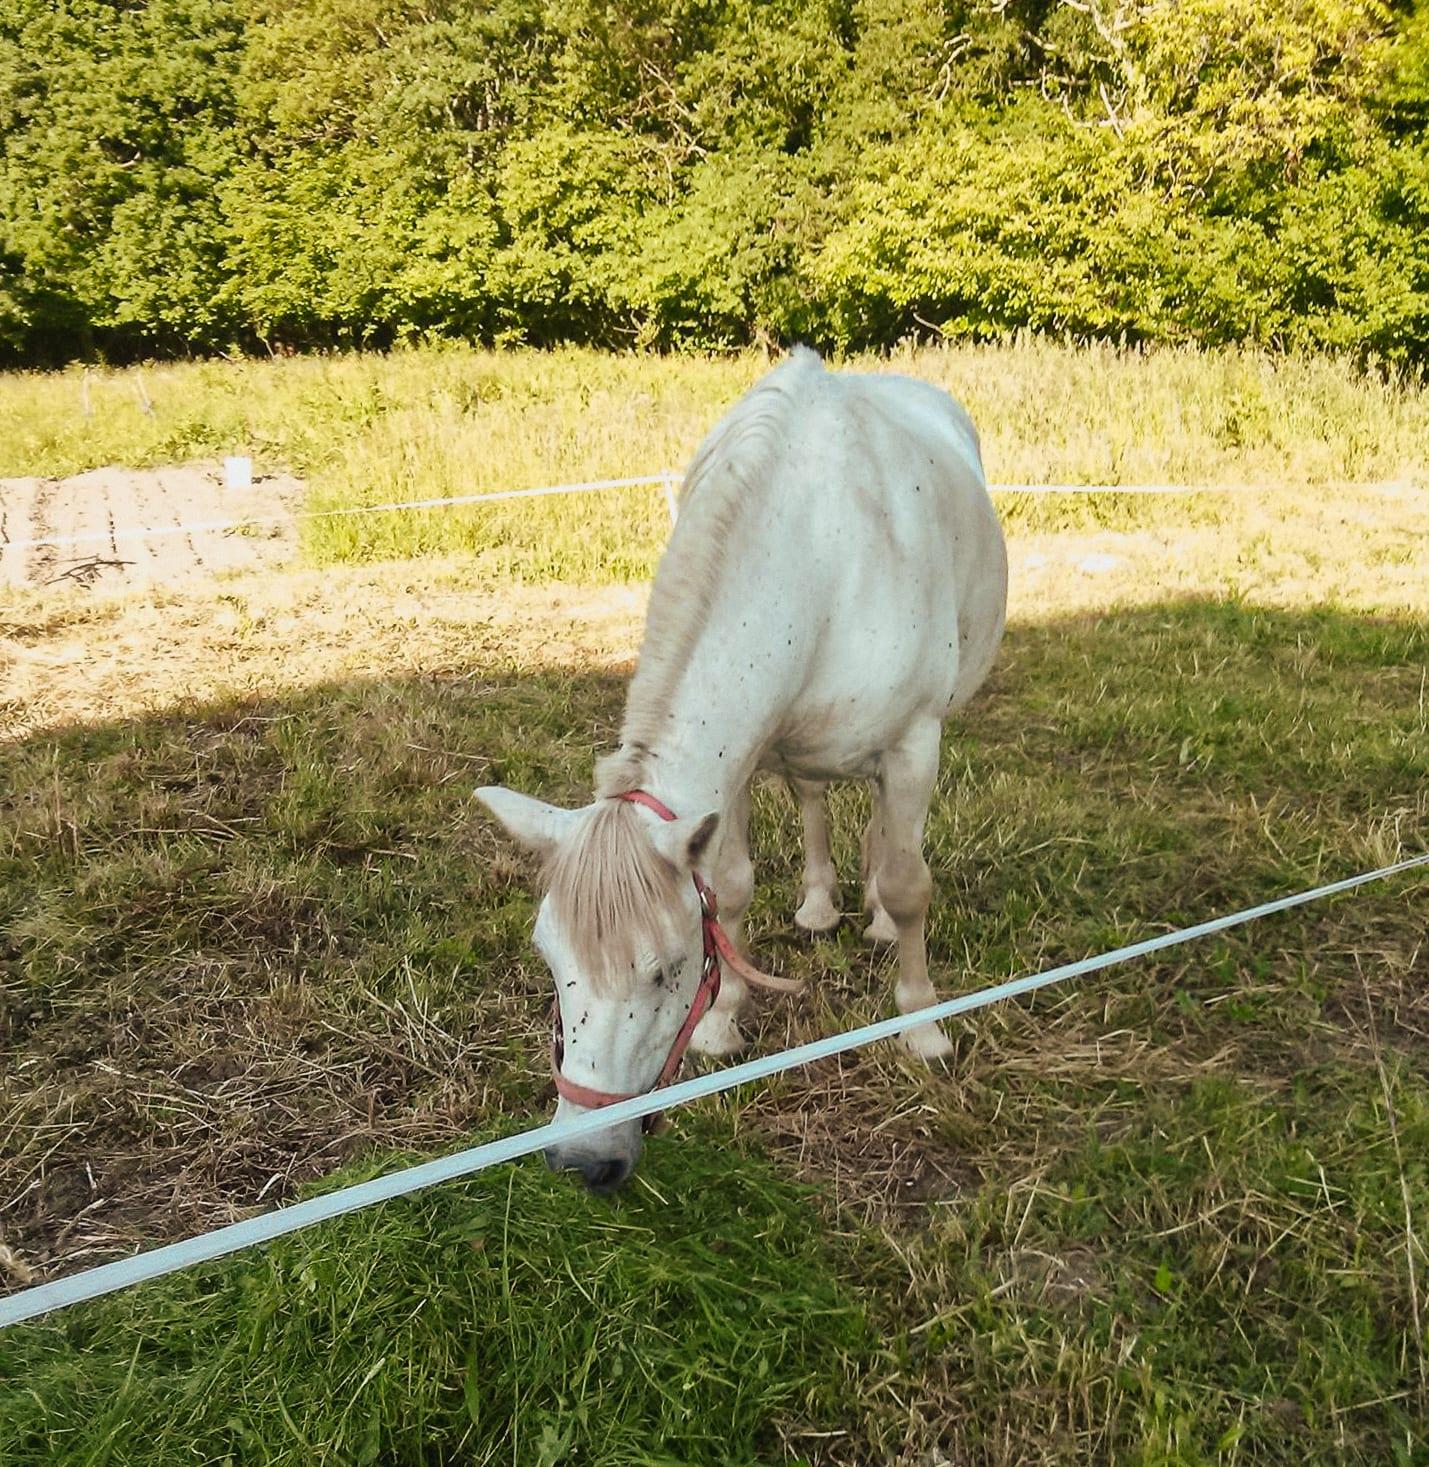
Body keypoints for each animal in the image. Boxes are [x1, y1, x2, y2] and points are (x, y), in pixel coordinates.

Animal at [481, 346, 1009, 1191]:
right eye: (548, 959)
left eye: (667, 969)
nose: (581, 1159)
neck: (820, 546)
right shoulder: (734, 768)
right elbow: (728, 890)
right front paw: (724, 1021)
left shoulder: (913, 742)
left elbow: (908, 881)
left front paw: (922, 1023)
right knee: (816, 797)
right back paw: (821, 904)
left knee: (884, 833)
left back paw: (877, 920)